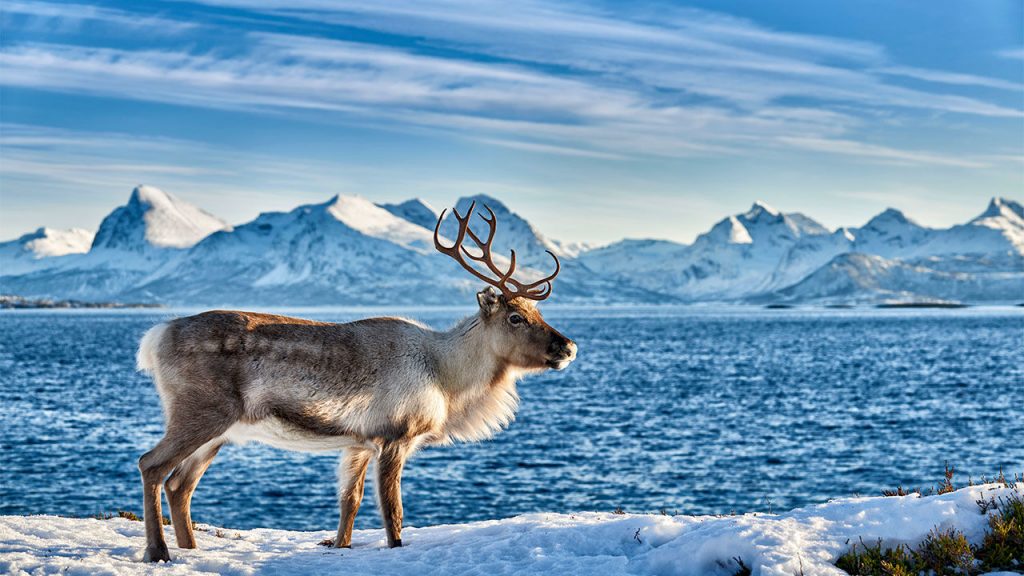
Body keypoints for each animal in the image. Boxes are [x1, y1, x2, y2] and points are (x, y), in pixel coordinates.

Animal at [135, 201, 577, 562]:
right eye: (515, 317)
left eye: (537, 312)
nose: (569, 346)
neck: (447, 378)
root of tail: (154, 337)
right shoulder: (396, 436)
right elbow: (393, 512)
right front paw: (395, 548)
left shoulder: (358, 443)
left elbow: (350, 502)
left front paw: (340, 545)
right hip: (201, 412)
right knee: (151, 465)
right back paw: (159, 553)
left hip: (221, 432)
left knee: (180, 485)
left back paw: (192, 550)